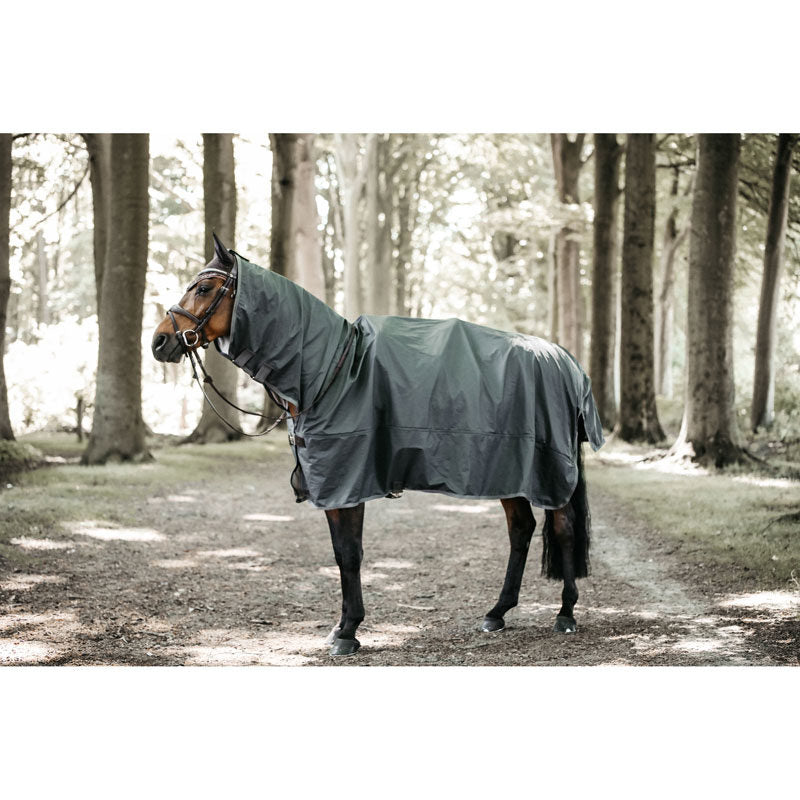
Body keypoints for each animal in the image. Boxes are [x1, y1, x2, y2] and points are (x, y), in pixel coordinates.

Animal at [152, 234, 605, 657]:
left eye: (204, 288)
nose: (159, 342)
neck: (329, 369)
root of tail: (565, 361)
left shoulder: (347, 482)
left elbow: (351, 554)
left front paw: (348, 632)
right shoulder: (334, 487)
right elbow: (341, 554)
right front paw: (341, 627)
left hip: (547, 471)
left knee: (562, 529)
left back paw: (566, 614)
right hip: (510, 470)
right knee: (521, 530)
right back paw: (497, 613)